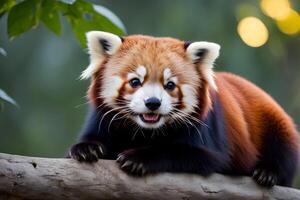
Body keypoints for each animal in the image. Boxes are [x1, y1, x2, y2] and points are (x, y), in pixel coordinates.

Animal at [67, 30, 298, 187]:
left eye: (170, 85)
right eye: (135, 82)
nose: (153, 103)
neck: (146, 131)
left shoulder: (207, 133)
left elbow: (192, 154)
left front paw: (138, 158)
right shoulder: (103, 118)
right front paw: (86, 148)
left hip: (276, 123)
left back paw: (268, 172)